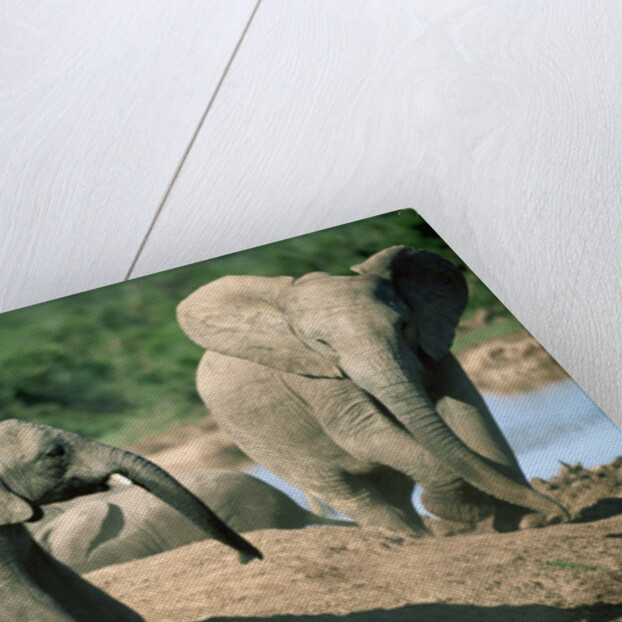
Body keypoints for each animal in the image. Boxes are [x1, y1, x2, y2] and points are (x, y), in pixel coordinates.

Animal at [177, 245, 572, 536]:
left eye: (403, 324)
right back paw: (411, 543)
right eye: (323, 344)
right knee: (350, 492)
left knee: (393, 487)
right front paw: (468, 510)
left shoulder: (430, 340)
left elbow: (468, 408)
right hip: (266, 447)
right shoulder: (308, 374)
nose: (564, 512)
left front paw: (531, 520)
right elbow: (359, 430)